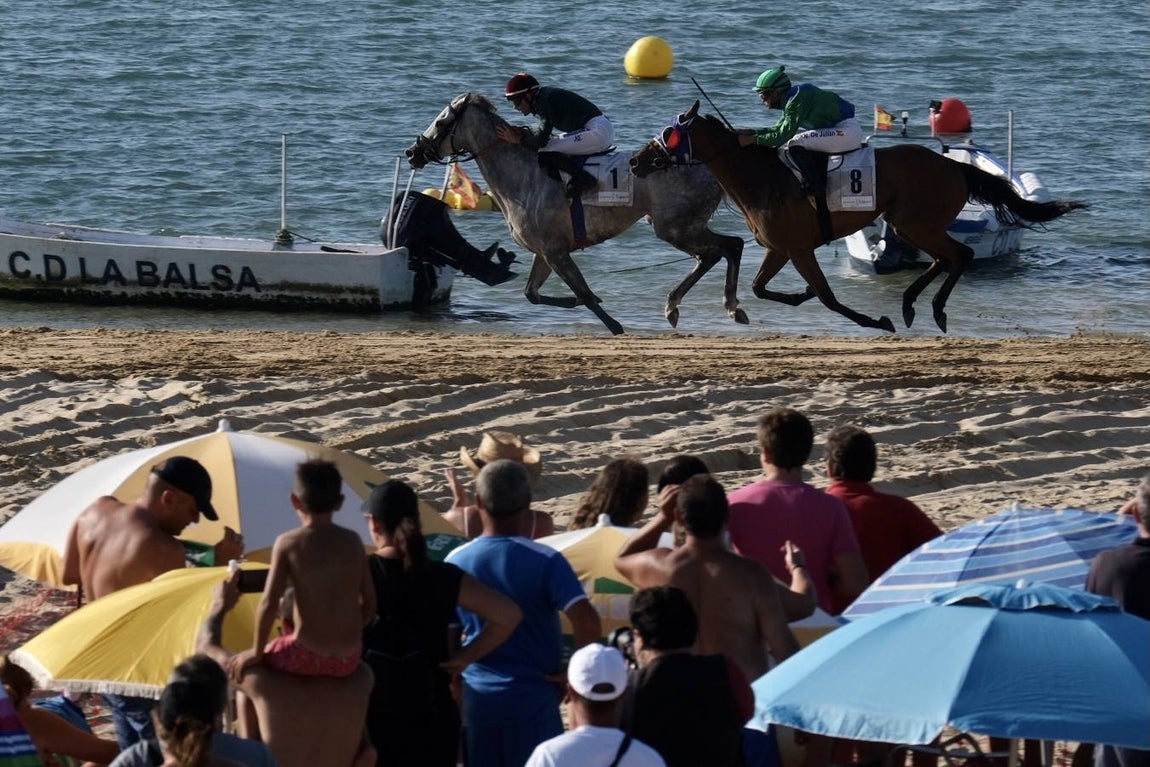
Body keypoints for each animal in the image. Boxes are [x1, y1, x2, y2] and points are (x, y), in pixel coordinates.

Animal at [405, 94, 746, 335]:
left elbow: (583, 292)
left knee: (727, 247)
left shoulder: (556, 251)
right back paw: (693, 306)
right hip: (681, 226)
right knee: (717, 252)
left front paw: (613, 324)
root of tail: (708, 166)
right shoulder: (545, 251)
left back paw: (718, 306)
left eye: (441, 123)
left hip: (675, 227)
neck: (522, 177)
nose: (412, 152)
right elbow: (533, 293)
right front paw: (575, 302)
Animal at [630, 100, 1087, 333]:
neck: (762, 178)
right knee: (946, 258)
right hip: (908, 223)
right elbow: (761, 289)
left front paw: (874, 320)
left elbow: (829, 298)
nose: (636, 161)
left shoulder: (798, 249)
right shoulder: (780, 249)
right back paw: (910, 305)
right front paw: (800, 295)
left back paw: (930, 310)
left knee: (961, 256)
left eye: (669, 134)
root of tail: (953, 165)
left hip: (916, 222)